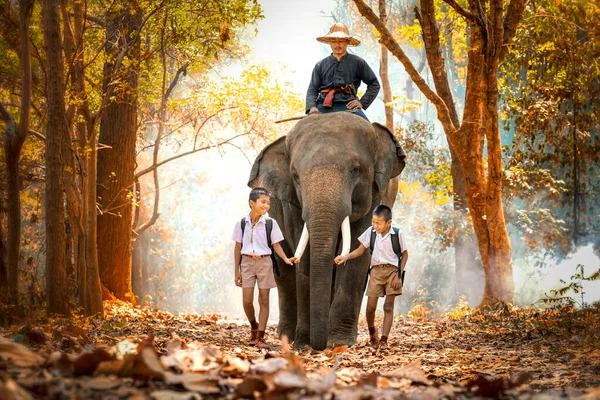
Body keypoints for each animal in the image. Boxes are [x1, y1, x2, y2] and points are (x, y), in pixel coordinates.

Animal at [246, 111, 406, 348]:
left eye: (356, 170)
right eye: (295, 175)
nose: (316, 345)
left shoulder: (377, 194)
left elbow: (358, 254)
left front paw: (339, 342)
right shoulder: (291, 203)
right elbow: (304, 256)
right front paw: (303, 343)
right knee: (284, 273)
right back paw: (286, 336)